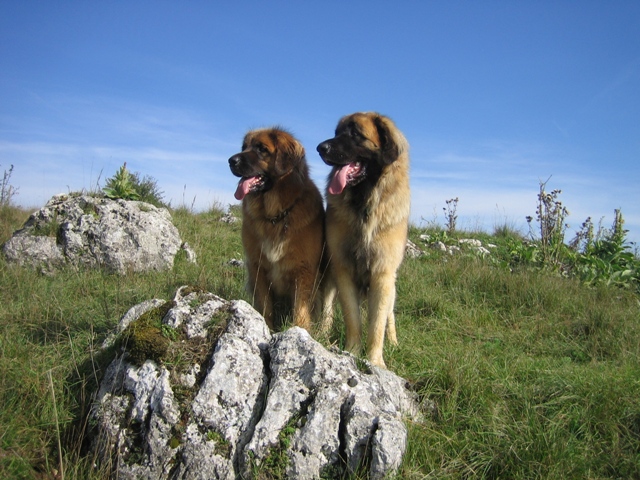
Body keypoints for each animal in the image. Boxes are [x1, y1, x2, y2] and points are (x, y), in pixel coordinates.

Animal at [229, 127, 332, 331]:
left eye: (262, 149)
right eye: (244, 147)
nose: (231, 161)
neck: (275, 217)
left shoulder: (304, 270)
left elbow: (300, 309)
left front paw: (300, 330)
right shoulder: (257, 268)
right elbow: (265, 306)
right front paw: (266, 327)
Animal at [317, 112, 410, 368]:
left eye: (355, 134)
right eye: (337, 133)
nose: (320, 148)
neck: (365, 205)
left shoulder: (383, 274)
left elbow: (377, 324)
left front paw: (375, 361)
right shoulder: (342, 270)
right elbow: (353, 319)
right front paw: (352, 351)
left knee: (390, 316)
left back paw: (394, 342)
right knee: (327, 307)